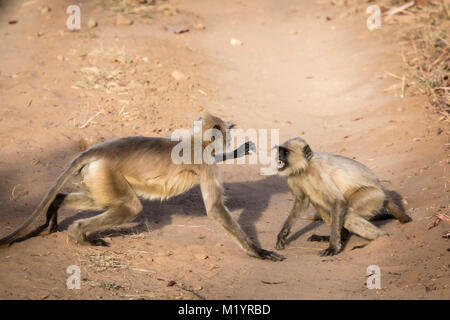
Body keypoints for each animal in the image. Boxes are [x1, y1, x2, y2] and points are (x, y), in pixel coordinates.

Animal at [0, 115, 284, 262]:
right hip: (107, 173)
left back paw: (57, 207)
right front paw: (258, 252)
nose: (229, 139)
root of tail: (100, 149)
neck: (195, 141)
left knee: (96, 201)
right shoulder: (204, 164)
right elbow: (215, 209)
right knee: (130, 207)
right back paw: (81, 236)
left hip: (96, 175)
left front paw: (238, 151)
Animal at [274, 138, 412, 258]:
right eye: (280, 151)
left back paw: (381, 238)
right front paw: (282, 235)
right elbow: (301, 201)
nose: (278, 157)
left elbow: (337, 201)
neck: (305, 167)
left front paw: (333, 248)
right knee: (317, 201)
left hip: (373, 196)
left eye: (285, 152)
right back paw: (342, 236)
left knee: (348, 216)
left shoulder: (317, 172)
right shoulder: (293, 176)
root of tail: (381, 188)